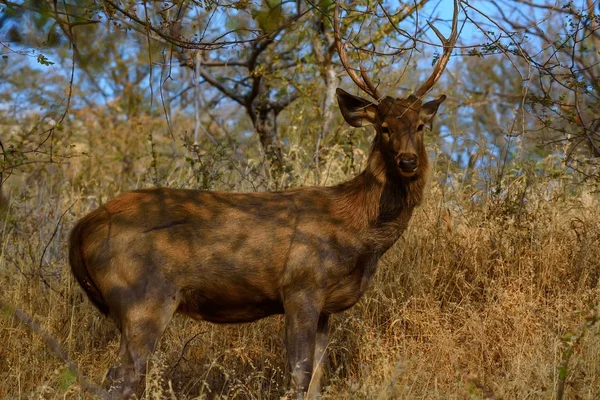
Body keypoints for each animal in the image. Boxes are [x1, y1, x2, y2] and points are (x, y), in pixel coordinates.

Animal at [68, 2, 458, 396]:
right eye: (384, 128)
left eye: (420, 127)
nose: (407, 161)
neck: (356, 232)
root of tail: (80, 229)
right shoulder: (301, 286)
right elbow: (299, 375)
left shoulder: (326, 308)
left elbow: (317, 381)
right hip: (142, 296)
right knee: (120, 379)